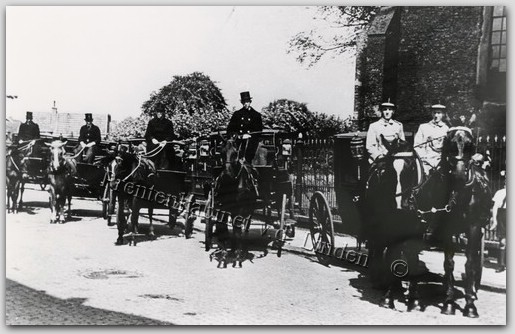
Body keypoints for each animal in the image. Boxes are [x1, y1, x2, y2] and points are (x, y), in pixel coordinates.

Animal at [362, 134, 428, 312]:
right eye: (389, 170)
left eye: (411, 167)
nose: (399, 206)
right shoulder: (390, 230)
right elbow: (393, 257)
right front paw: (388, 297)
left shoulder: (417, 231)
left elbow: (412, 259)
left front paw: (414, 299)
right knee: (377, 248)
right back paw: (378, 279)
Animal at [414, 126, 494, 318]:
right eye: (450, 144)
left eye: (469, 145)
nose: (459, 174)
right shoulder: (448, 229)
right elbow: (449, 264)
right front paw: (449, 303)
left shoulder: (474, 227)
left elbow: (470, 263)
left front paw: (470, 305)